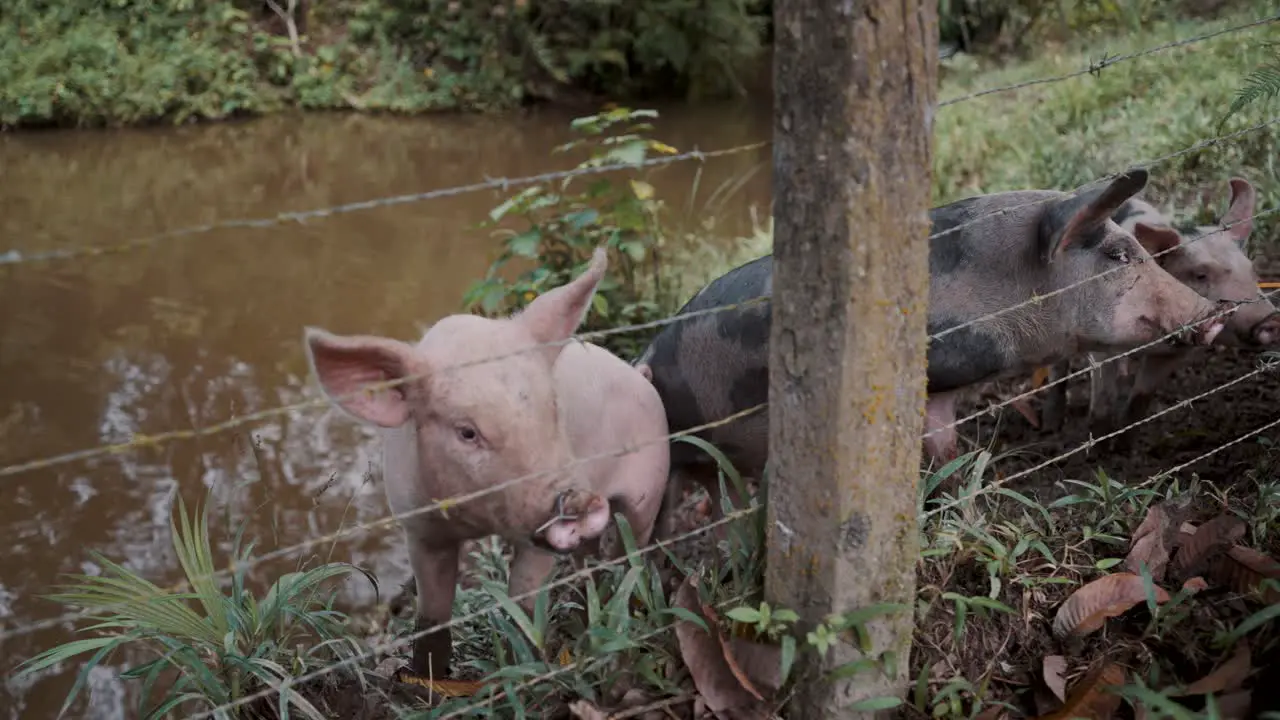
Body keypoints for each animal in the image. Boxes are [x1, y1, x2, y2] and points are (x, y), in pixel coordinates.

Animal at [305, 248, 675, 676]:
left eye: (553, 409)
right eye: (467, 432)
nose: (577, 500)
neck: (474, 518)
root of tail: (642, 377)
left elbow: (524, 609)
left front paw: (520, 669)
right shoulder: (419, 527)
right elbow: (432, 616)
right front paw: (426, 679)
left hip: (650, 483)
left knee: (629, 553)